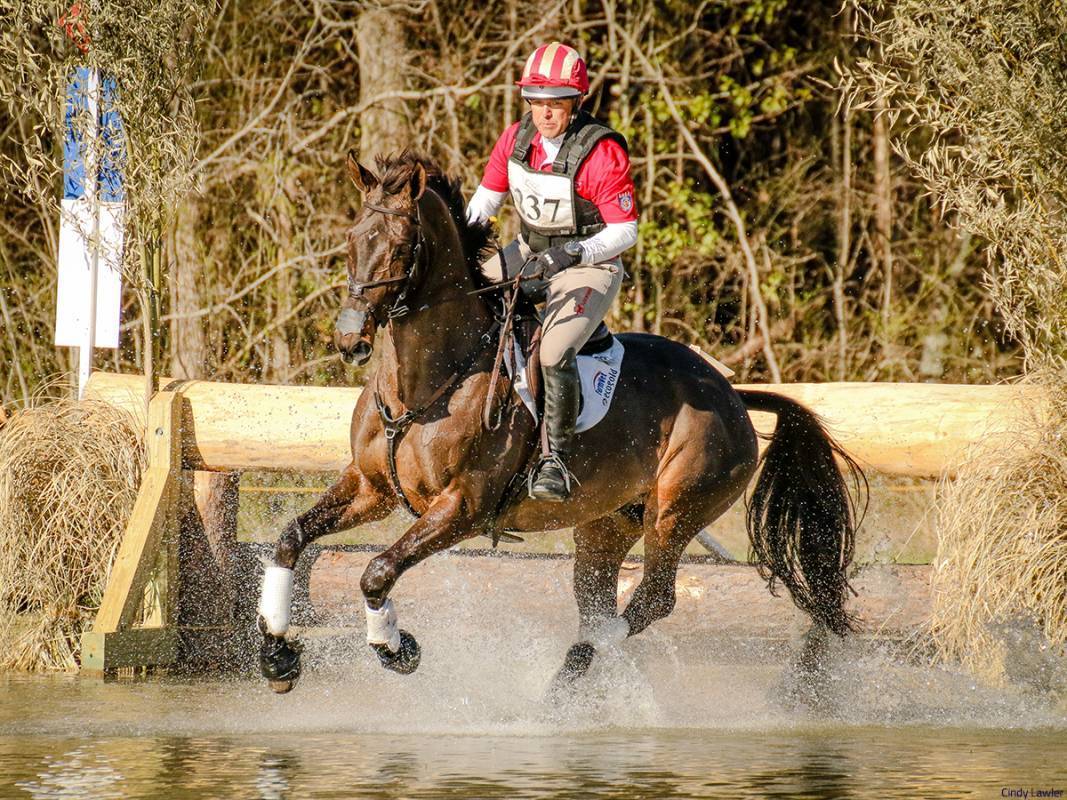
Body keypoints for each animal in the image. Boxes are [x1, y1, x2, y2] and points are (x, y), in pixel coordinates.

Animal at [258, 150, 866, 695]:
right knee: (598, 604)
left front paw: (395, 648)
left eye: (402, 248)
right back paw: (561, 697)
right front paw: (277, 654)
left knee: (650, 601)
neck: (428, 383)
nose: (351, 340)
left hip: (676, 511)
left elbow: (377, 571)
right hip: (607, 524)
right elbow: (290, 539)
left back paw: (573, 677)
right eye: (353, 237)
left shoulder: (461, 508)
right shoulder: (371, 488)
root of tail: (731, 395)